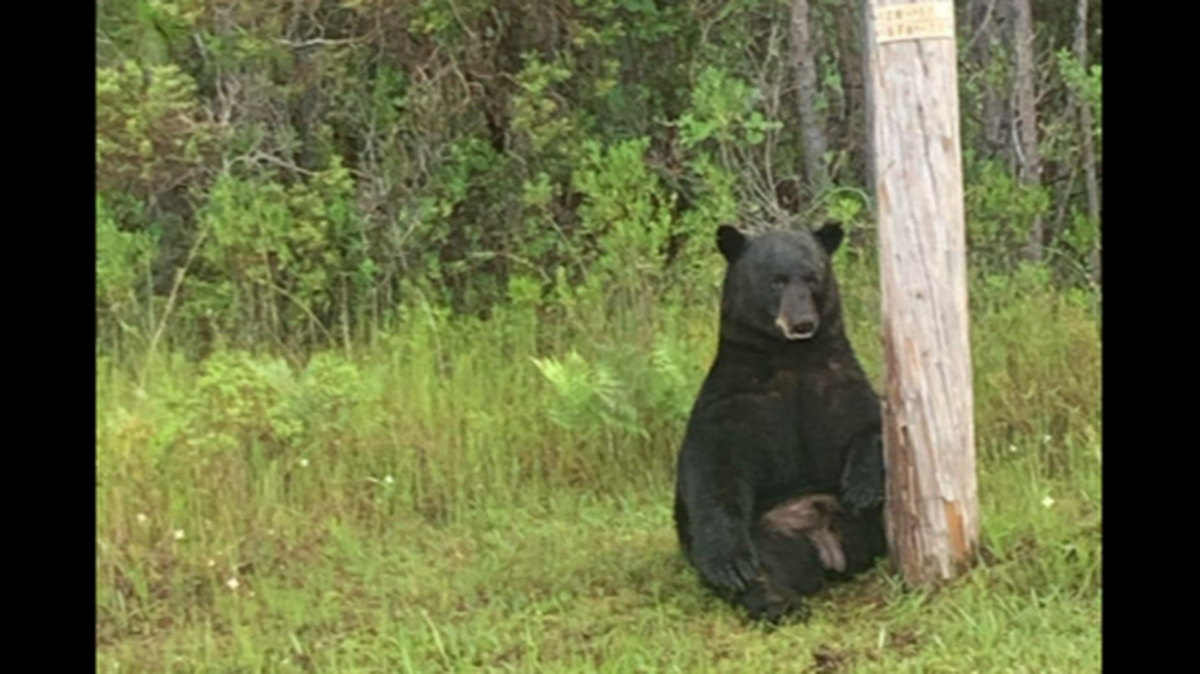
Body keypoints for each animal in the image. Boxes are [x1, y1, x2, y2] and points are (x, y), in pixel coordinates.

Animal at [673, 221, 887, 623]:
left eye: (813, 277)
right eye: (776, 281)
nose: (802, 323)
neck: (793, 357)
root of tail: (826, 545)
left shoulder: (839, 382)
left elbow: (874, 421)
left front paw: (862, 485)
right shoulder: (735, 400)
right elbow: (714, 468)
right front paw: (728, 564)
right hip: (768, 534)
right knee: (763, 569)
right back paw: (777, 601)